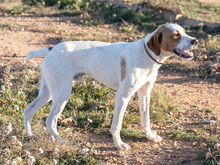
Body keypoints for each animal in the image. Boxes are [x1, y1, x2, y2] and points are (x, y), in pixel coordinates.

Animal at [24, 23, 198, 151]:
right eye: (176, 35)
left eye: (185, 32)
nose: (195, 41)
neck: (146, 54)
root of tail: (52, 48)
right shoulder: (123, 96)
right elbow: (117, 125)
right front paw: (119, 144)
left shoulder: (145, 92)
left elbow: (145, 118)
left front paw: (150, 136)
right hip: (62, 94)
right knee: (50, 120)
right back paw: (60, 141)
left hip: (48, 93)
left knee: (28, 110)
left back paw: (29, 134)